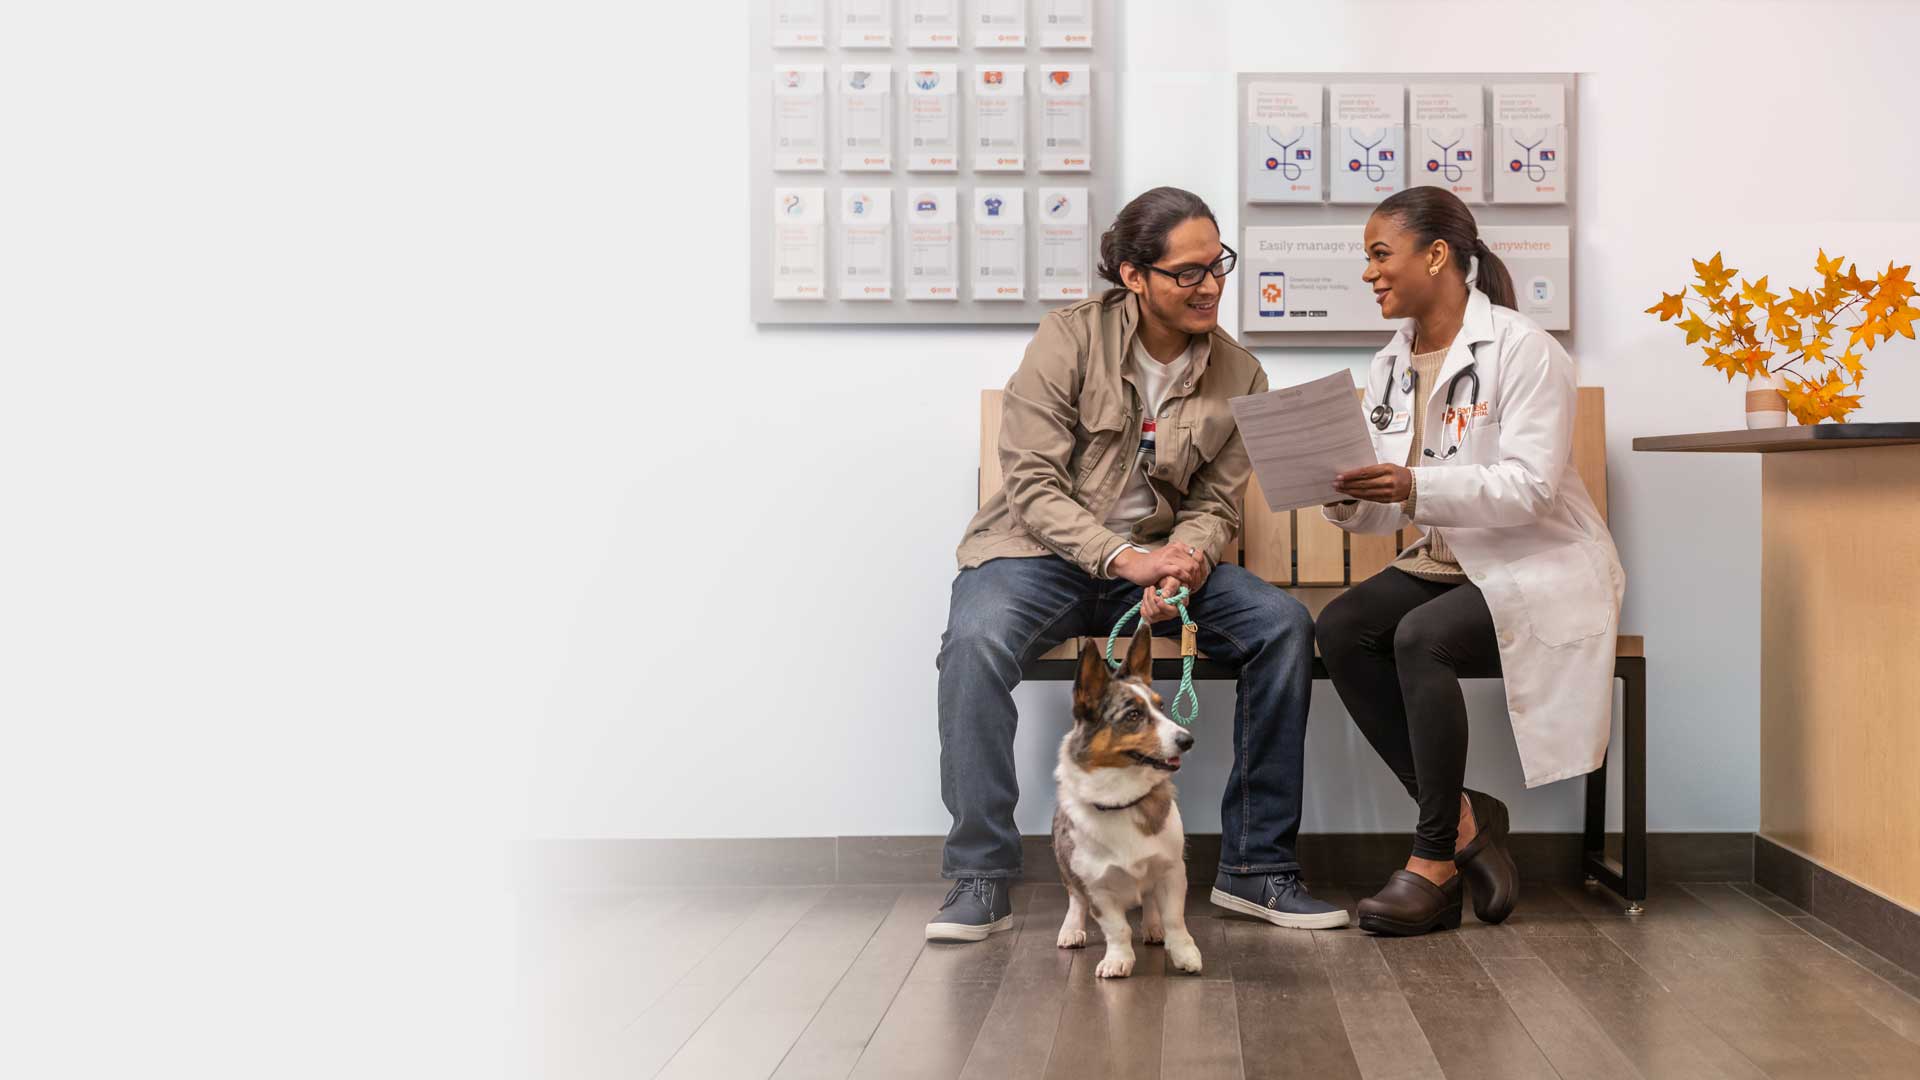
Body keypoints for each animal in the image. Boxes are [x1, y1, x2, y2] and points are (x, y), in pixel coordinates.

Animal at [1052, 614, 1198, 976]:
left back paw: (1153, 927)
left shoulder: (1172, 871)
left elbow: (1175, 919)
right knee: (1075, 899)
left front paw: (1185, 954)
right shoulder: (1097, 889)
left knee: (1150, 903)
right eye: (1133, 715)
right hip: (1066, 866)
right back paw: (1072, 928)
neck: (1122, 799)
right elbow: (1116, 928)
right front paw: (1118, 961)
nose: (1188, 740)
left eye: (1162, 707)